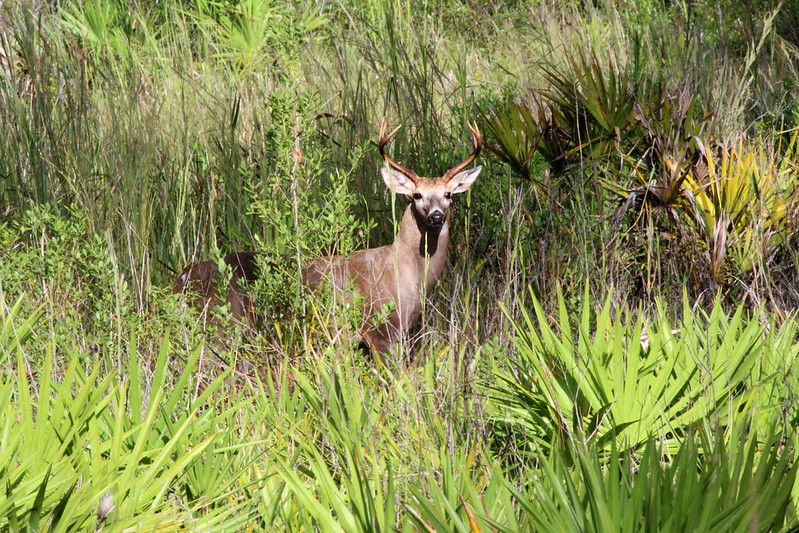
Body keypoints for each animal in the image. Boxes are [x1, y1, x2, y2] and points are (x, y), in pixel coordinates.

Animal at [173, 121, 483, 357]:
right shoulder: (381, 331)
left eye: (448, 194)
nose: (436, 217)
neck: (410, 273)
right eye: (417, 195)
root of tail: (182, 278)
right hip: (224, 323)